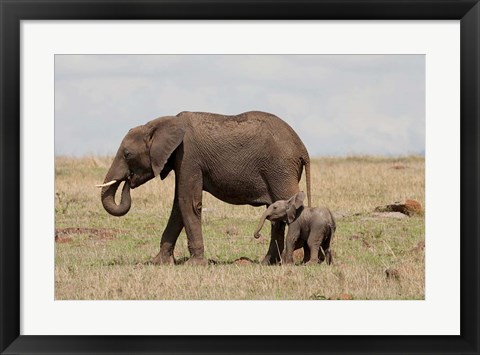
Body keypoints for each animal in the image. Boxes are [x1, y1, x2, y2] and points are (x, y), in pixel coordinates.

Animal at [97, 110, 312, 264]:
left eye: (127, 154)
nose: (128, 180)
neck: (163, 123)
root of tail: (303, 149)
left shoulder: (188, 156)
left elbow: (188, 202)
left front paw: (194, 264)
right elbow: (178, 206)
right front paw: (158, 262)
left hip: (280, 169)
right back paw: (267, 263)